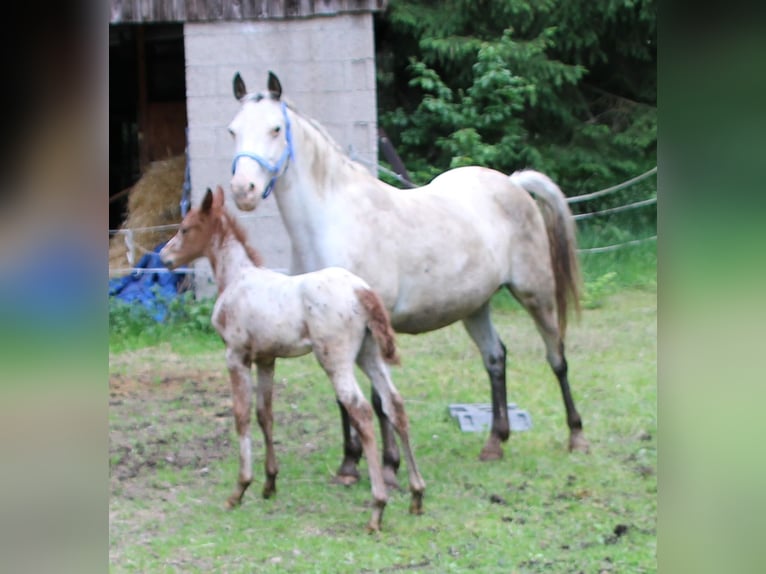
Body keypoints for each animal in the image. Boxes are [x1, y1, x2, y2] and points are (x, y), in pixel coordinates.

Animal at [160, 187, 426, 532]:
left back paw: (377, 508)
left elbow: (241, 415)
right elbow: (265, 414)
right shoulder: (266, 359)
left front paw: (240, 489)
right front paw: (269, 483)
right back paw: (416, 495)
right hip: (368, 355)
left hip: (336, 360)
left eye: (185, 228)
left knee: (362, 411)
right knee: (394, 404)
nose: (164, 258)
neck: (237, 278)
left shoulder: (235, 355)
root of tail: (361, 291)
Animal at [225, 71, 592, 486]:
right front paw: (349, 465)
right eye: (233, 130)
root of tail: (513, 184)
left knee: (556, 356)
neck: (335, 221)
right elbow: (344, 397)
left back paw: (576, 436)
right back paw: (495, 442)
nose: (243, 191)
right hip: (475, 306)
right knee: (496, 358)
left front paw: (388, 466)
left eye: (275, 129)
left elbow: (378, 397)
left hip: (535, 293)